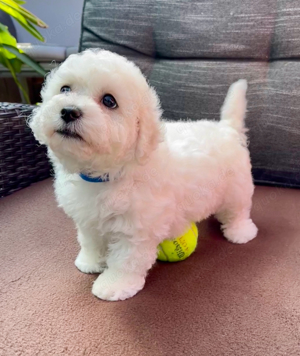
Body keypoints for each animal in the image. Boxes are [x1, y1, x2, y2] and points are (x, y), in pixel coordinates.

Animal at [29, 50, 256, 300]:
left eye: (109, 101)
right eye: (65, 89)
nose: (69, 111)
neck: (106, 173)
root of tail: (226, 128)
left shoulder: (136, 227)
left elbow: (126, 259)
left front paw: (114, 284)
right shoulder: (87, 218)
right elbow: (90, 240)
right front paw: (90, 262)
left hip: (237, 187)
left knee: (237, 211)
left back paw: (241, 232)